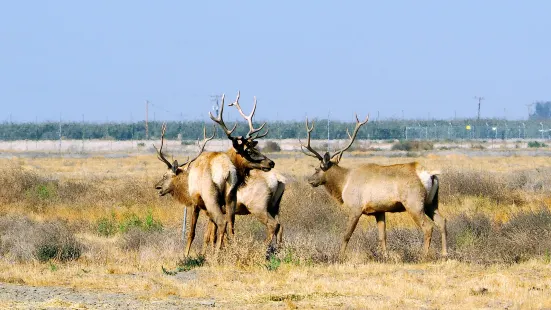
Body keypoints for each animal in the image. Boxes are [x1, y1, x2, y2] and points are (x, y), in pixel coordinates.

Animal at [300, 115, 446, 258]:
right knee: (442, 221)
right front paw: (385, 256)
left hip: (414, 203)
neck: (343, 184)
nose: (309, 180)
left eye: (317, 169)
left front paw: (339, 257)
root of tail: (430, 175)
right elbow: (382, 236)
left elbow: (347, 235)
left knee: (428, 227)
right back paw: (445, 253)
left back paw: (423, 255)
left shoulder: (355, 208)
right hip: (431, 203)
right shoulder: (379, 210)